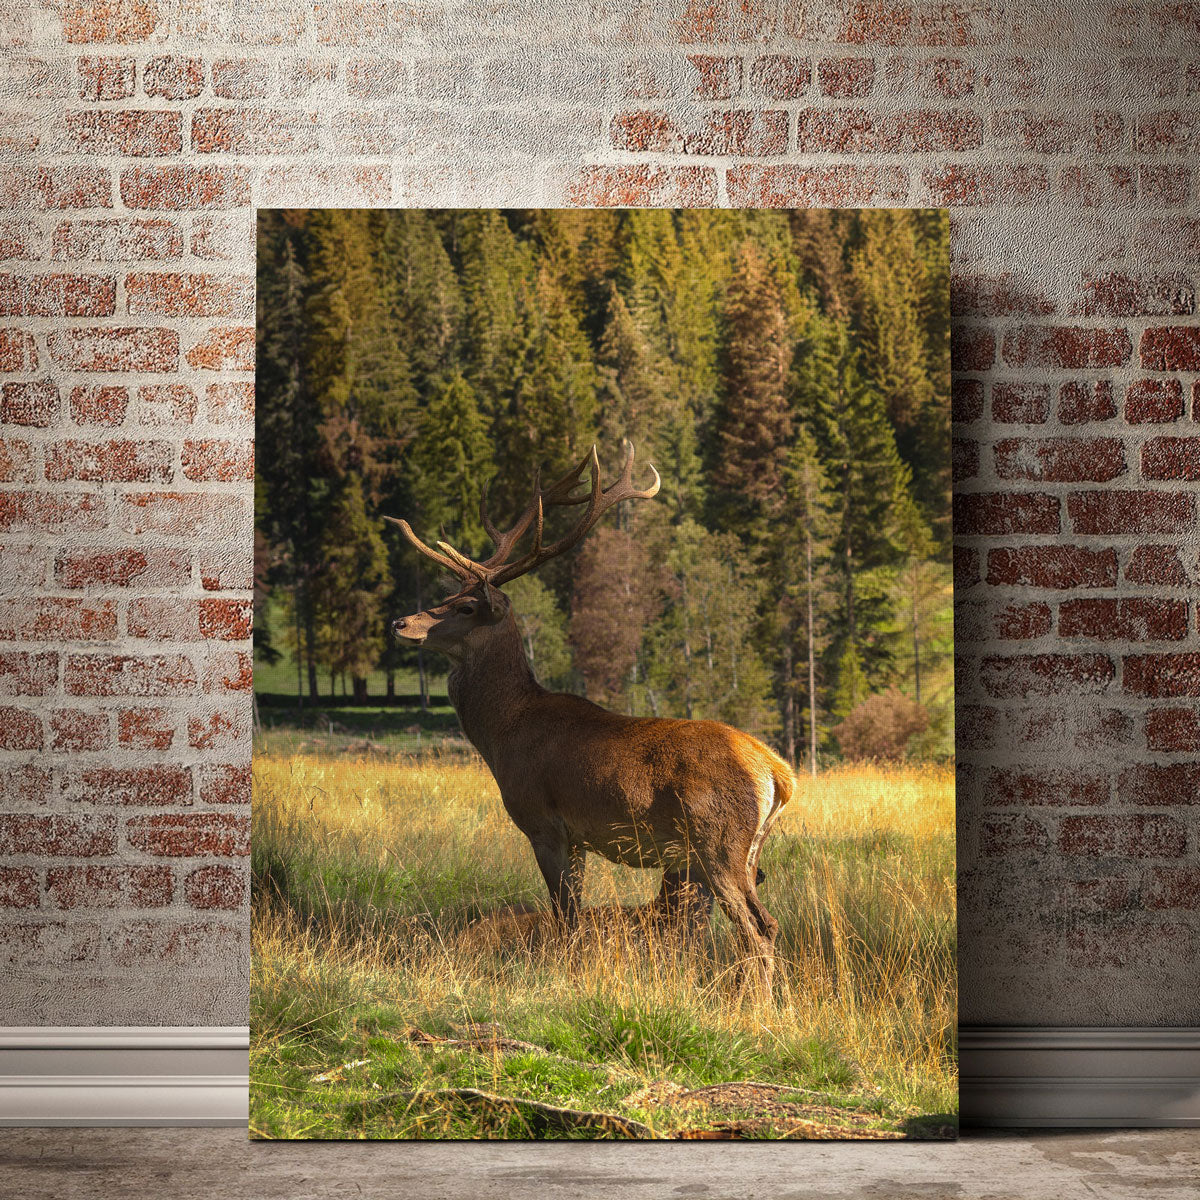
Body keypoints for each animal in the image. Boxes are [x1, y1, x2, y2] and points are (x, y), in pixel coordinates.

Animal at [386, 443, 794, 994]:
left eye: (467, 606)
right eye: (447, 596)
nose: (400, 622)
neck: (504, 734)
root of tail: (776, 772)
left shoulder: (544, 821)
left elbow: (567, 916)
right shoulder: (579, 837)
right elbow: (573, 915)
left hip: (717, 841)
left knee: (758, 926)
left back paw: (760, 1005)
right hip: (745, 851)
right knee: (763, 922)